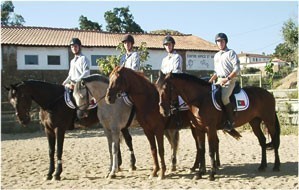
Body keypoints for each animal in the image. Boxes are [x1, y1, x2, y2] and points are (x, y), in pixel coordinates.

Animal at [5, 79, 136, 180]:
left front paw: (57, 174)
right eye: (11, 100)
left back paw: (131, 165)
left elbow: (58, 151)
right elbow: (51, 151)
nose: (23, 120)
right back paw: (118, 166)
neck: (52, 101)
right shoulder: (48, 130)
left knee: (128, 140)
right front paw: (49, 173)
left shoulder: (59, 129)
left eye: (21, 96)